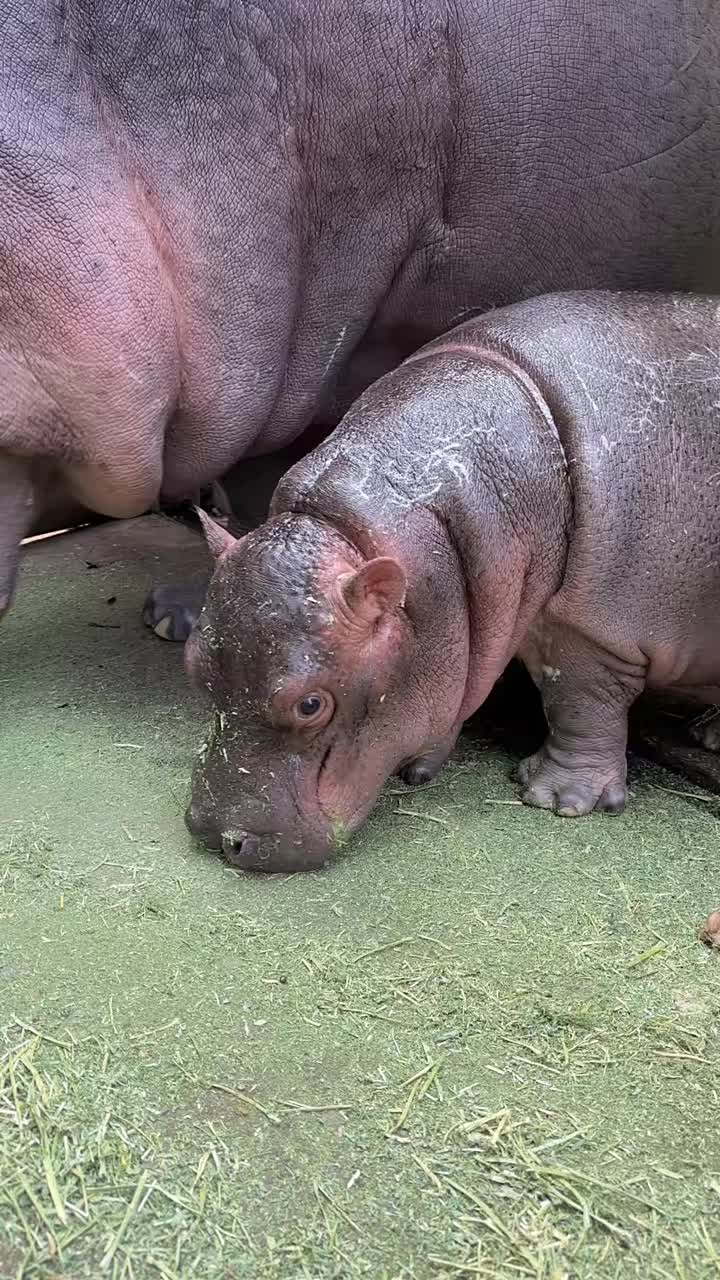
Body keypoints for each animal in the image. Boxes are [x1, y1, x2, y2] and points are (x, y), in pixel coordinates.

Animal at [183, 290, 720, 870]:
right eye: (192, 664)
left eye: (310, 705)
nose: (218, 838)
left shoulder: (593, 627)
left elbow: (581, 703)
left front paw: (555, 800)